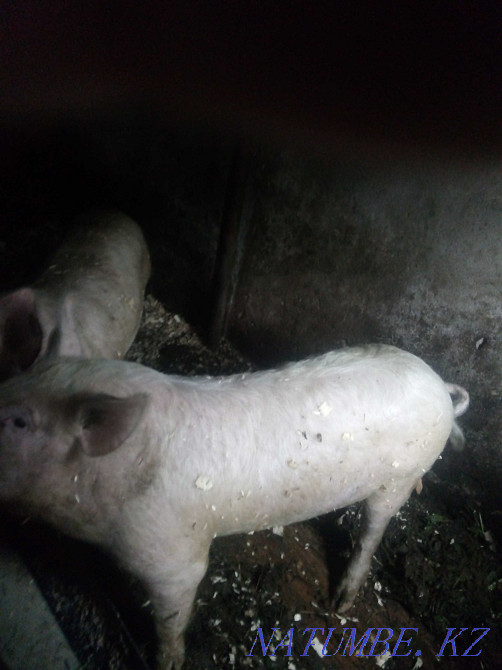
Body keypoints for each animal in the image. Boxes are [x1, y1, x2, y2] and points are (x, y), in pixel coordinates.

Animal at [0, 344, 469, 669]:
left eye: (19, 422)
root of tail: (439, 384)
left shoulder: (171, 553)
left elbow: (173, 611)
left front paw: (166, 661)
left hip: (400, 477)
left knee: (374, 529)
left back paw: (340, 603)